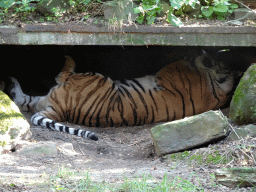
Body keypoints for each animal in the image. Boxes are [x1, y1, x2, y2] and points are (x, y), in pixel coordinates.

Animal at [4, 50, 244, 141]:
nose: (207, 53)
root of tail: (60, 110)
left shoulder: (174, 72)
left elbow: (178, 63)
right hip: (47, 99)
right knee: (24, 101)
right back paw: (11, 81)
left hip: (92, 77)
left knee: (63, 73)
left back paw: (67, 57)